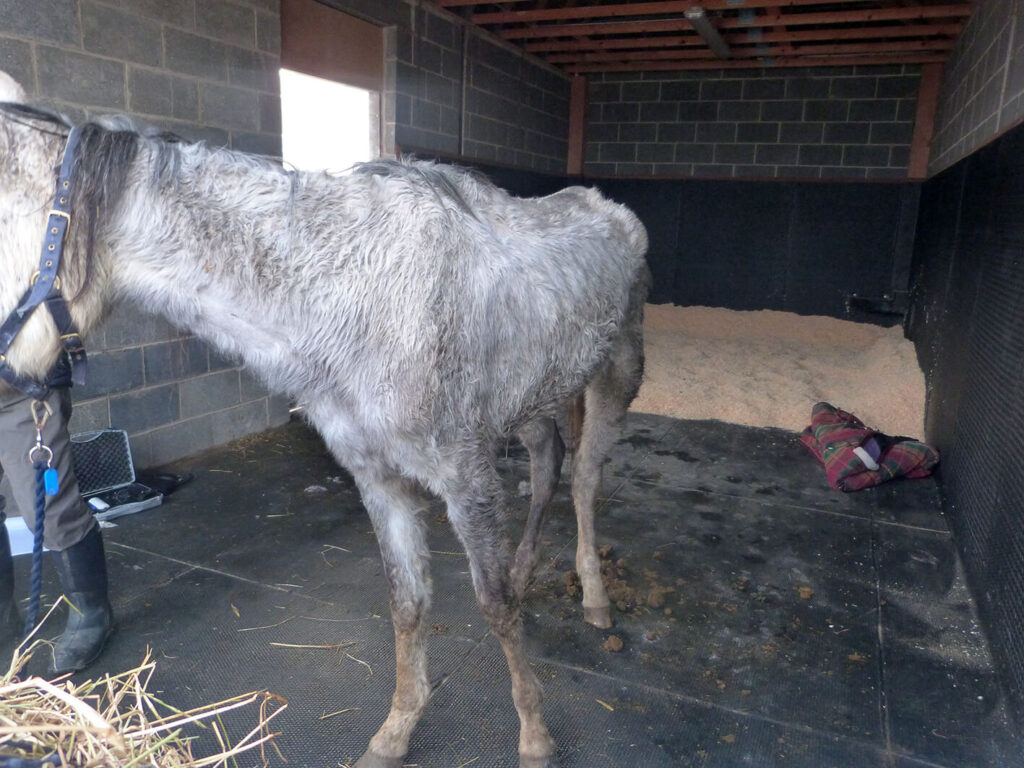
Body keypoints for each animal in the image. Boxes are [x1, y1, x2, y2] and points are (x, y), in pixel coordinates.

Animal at [0, 70, 648, 768]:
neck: (351, 289)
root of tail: (615, 211)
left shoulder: (465, 475)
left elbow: (494, 605)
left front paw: (533, 733)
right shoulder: (379, 478)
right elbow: (407, 603)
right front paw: (395, 731)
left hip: (615, 376)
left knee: (584, 479)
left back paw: (595, 598)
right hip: (532, 399)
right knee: (549, 461)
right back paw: (530, 568)